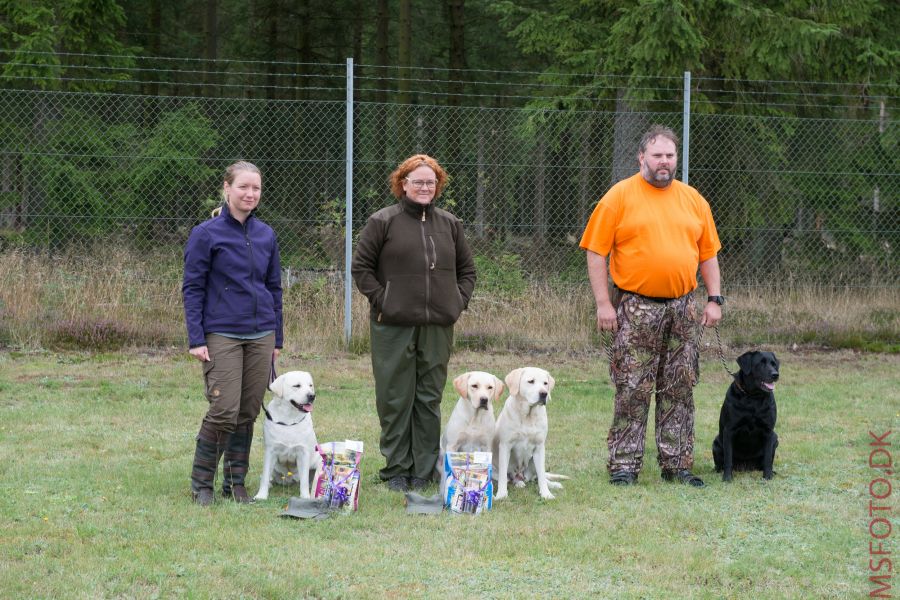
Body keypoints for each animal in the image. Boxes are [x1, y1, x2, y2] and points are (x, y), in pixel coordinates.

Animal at [255, 370, 322, 502]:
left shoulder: (303, 453)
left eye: (310, 385)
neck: (289, 419)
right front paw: (261, 495)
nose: (312, 396)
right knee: (268, 476)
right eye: (297, 386)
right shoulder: (270, 451)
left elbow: (304, 481)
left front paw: (305, 497)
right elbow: (265, 476)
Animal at [496, 366, 568, 502]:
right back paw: (519, 483)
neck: (527, 416)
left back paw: (553, 484)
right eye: (531, 381)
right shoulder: (505, 446)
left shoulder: (539, 448)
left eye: (545, 383)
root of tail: (522, 476)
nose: (544, 394)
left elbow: (542, 477)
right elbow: (502, 476)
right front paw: (501, 494)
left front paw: (546, 494)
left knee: (539, 476)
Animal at [712, 352, 776, 482]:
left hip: (775, 438)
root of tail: (746, 467)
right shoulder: (729, 430)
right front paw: (727, 478)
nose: (775, 374)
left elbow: (767, 459)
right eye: (761, 363)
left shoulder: (769, 431)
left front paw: (767, 477)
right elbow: (728, 458)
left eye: (774, 364)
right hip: (716, 443)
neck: (753, 397)